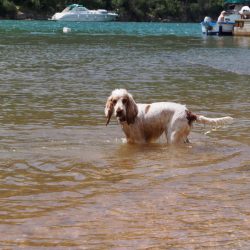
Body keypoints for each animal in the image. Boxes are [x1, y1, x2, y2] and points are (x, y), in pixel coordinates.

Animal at [104, 89, 233, 145]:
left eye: (124, 100)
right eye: (114, 101)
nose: (119, 111)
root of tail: (187, 112)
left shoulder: (140, 140)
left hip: (172, 135)